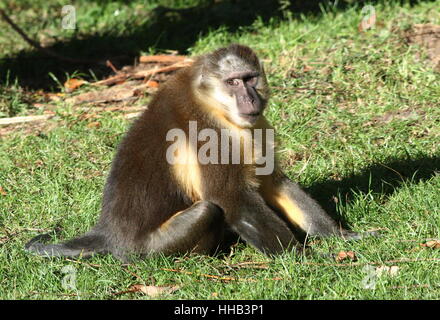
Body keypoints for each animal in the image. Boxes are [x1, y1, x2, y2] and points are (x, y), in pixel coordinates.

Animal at [26, 43, 372, 262]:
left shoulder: (254, 125)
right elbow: (231, 198)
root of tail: (110, 235)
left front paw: (338, 237)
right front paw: (305, 258)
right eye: (233, 83)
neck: (214, 104)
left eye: (250, 79)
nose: (250, 99)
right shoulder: (210, 132)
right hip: (149, 249)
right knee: (209, 210)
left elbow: (273, 182)